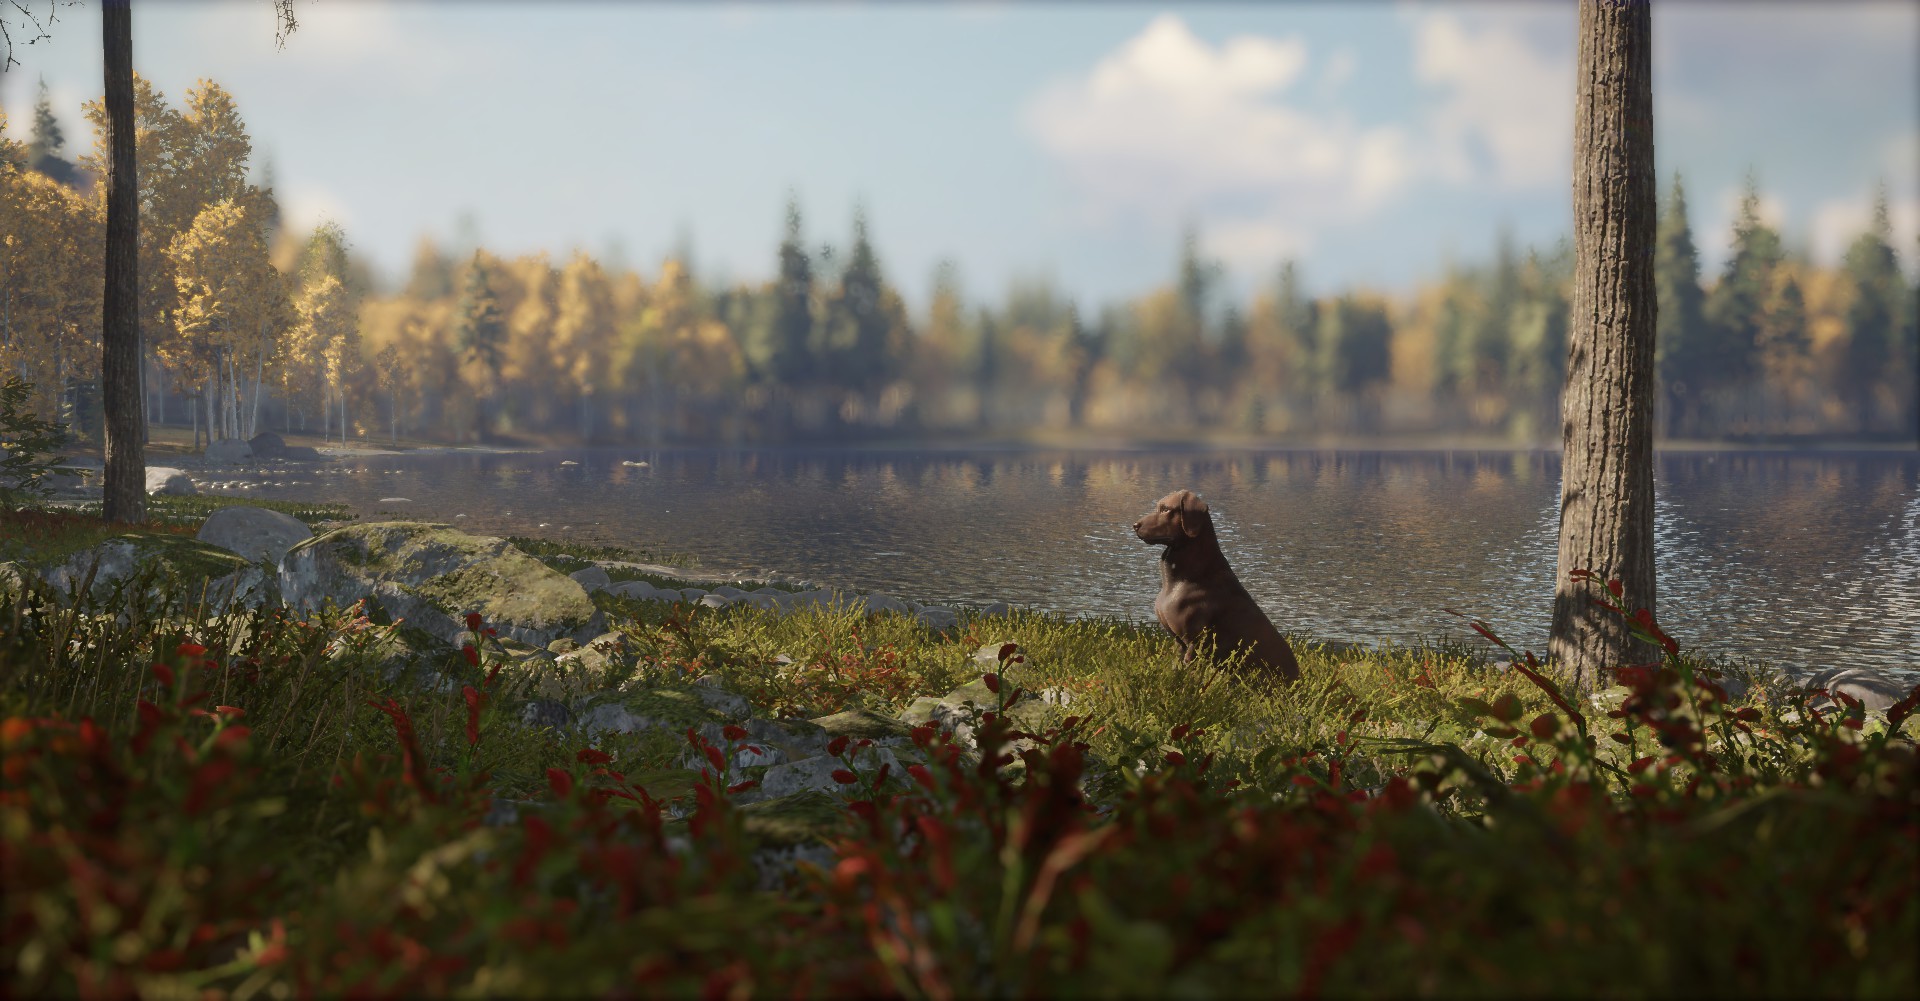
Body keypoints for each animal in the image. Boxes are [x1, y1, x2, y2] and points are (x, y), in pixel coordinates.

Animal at [1121, 488, 1305, 683]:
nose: (1135, 525)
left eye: (1165, 509)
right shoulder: (1179, 641)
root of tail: (1297, 680)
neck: (1176, 582)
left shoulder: (1195, 641)